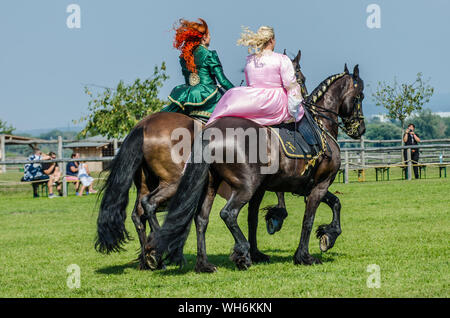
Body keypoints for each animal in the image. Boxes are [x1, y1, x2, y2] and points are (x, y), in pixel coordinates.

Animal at [95, 51, 306, 270]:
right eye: (300, 78)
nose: (302, 102)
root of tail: (143, 125)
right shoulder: (259, 178)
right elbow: (258, 210)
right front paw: (272, 223)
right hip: (173, 182)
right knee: (149, 206)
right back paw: (166, 252)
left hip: (146, 182)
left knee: (138, 214)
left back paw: (149, 259)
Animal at [150, 64, 366, 270]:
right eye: (360, 96)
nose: (360, 129)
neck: (321, 125)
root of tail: (212, 132)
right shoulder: (320, 185)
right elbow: (309, 219)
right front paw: (305, 256)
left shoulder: (305, 187)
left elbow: (335, 203)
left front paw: (327, 235)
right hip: (245, 187)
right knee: (228, 214)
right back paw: (241, 253)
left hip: (211, 185)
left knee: (201, 219)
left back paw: (204, 264)